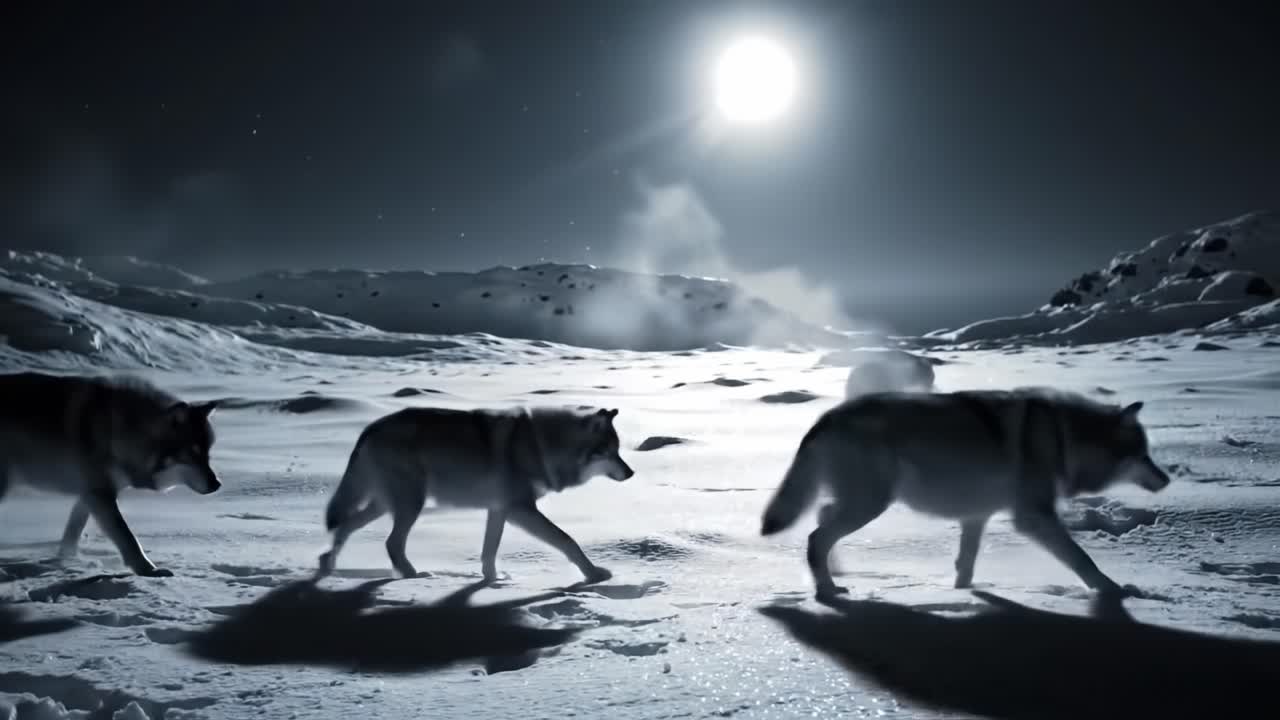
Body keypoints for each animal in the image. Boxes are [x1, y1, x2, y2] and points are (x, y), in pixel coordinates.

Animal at [0, 371, 221, 577]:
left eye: (207, 454)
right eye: (193, 454)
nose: (217, 484)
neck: (124, 431)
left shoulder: (90, 494)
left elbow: (73, 532)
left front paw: (64, 562)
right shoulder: (100, 494)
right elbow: (127, 537)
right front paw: (149, 570)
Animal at [316, 405, 634, 584]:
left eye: (619, 451)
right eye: (611, 452)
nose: (631, 473)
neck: (544, 446)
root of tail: (369, 428)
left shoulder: (499, 509)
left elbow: (489, 551)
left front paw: (494, 581)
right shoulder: (520, 510)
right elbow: (567, 540)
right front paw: (594, 575)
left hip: (385, 505)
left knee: (345, 527)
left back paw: (327, 564)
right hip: (410, 505)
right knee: (391, 542)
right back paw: (414, 576)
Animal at [761, 387, 1170, 599]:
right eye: (1143, 455)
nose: (1166, 479)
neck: (1062, 436)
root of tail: (825, 417)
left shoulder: (977, 516)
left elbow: (966, 564)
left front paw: (961, 595)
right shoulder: (1032, 517)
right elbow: (1083, 559)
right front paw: (1116, 592)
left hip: (863, 501)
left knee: (822, 518)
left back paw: (835, 572)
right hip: (870, 504)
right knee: (816, 536)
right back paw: (828, 590)